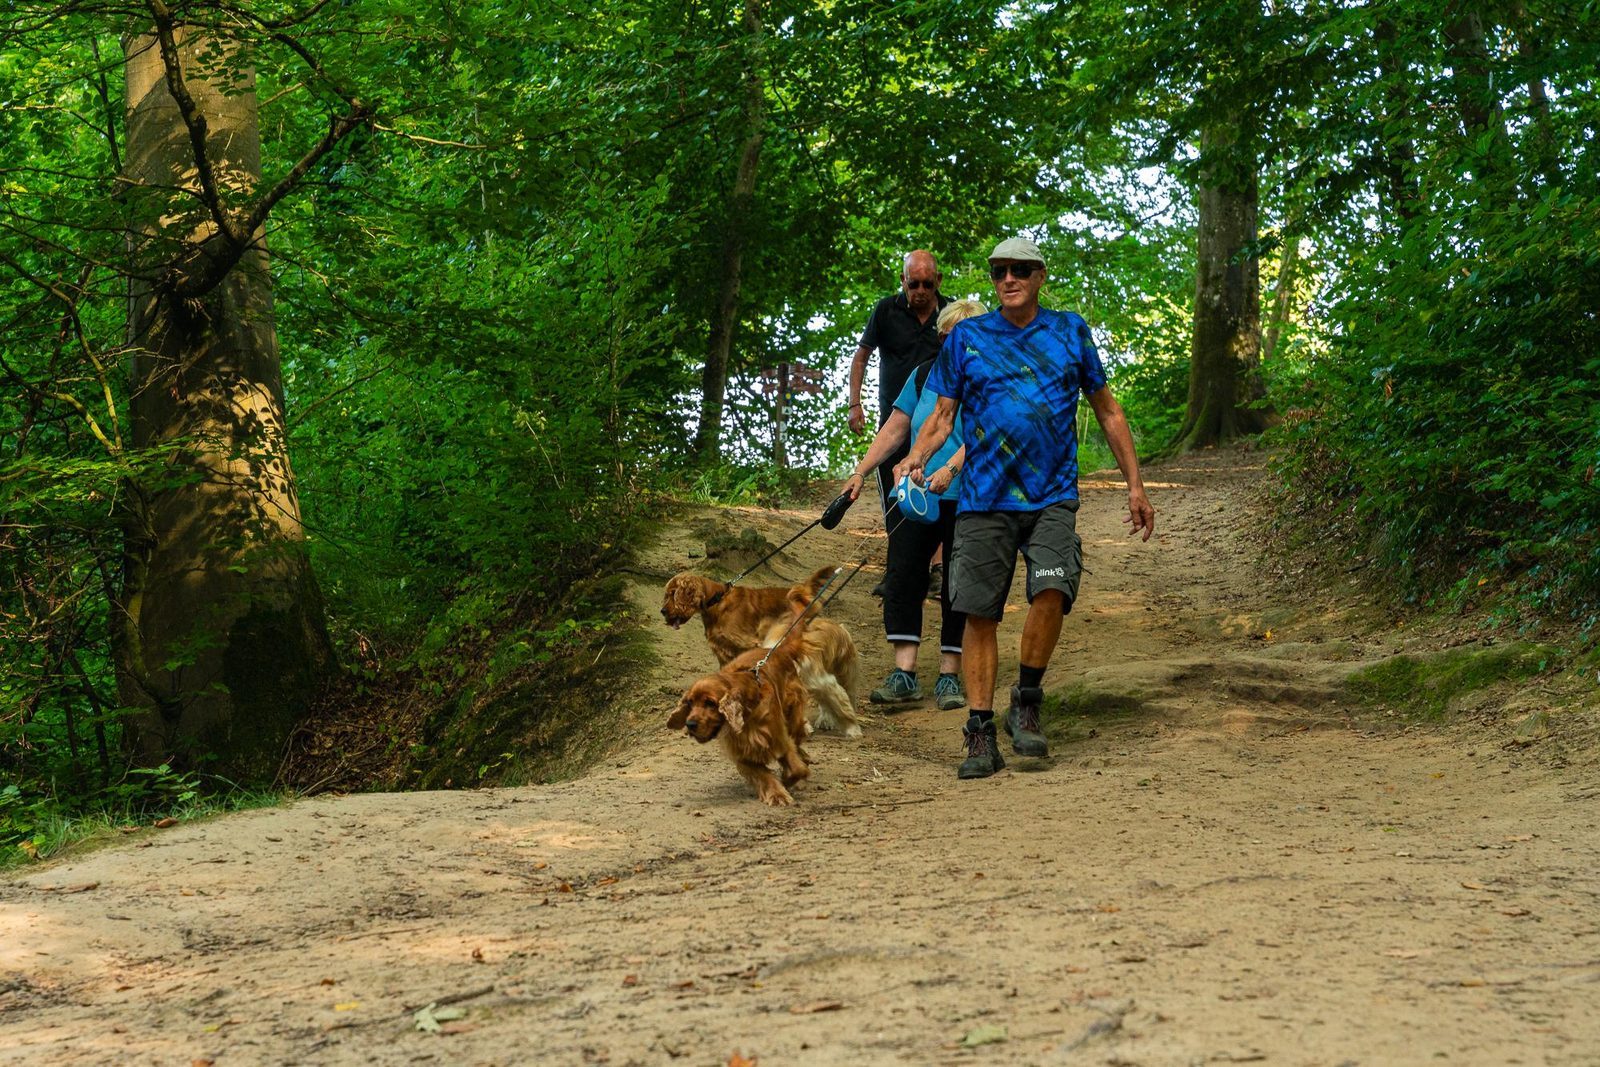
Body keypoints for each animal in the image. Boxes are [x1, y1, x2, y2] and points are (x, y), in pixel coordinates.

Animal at [665, 620, 812, 806]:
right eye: (690, 703)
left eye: (710, 703)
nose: (689, 724)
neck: (748, 714)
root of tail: (778, 649)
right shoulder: (742, 753)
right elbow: (763, 775)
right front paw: (777, 794)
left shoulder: (778, 738)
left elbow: (796, 768)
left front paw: (788, 780)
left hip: (793, 714)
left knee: (798, 737)